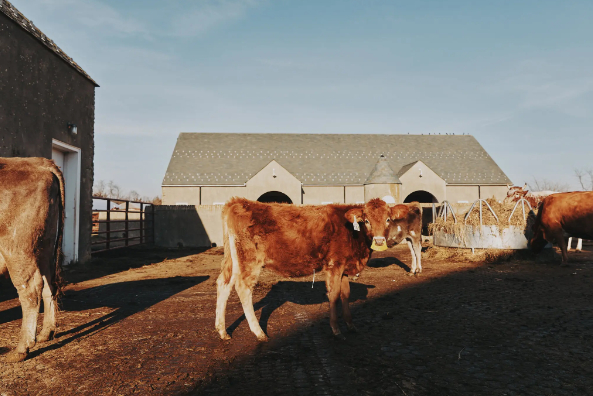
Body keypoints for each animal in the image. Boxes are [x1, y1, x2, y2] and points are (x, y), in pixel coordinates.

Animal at [0, 158, 64, 362]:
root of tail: (38, 161)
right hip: (44, 248)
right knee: (48, 285)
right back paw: (46, 332)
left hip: (18, 250)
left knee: (30, 290)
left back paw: (22, 348)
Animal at [216, 198, 394, 340]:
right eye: (366, 220)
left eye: (388, 220)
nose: (379, 242)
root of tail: (239, 202)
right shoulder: (334, 265)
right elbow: (334, 295)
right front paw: (336, 330)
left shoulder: (344, 267)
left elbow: (346, 294)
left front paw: (351, 326)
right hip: (249, 259)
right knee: (243, 288)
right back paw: (259, 333)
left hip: (233, 259)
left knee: (223, 283)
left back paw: (222, 331)